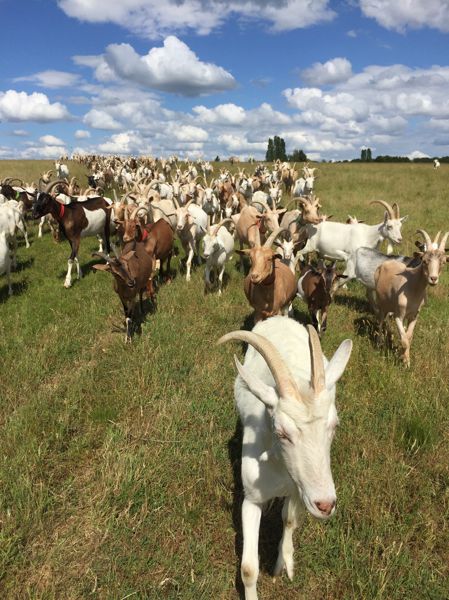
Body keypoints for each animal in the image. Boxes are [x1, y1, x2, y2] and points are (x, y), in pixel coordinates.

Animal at [219, 316, 352, 596]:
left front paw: (283, 564)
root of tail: (279, 317)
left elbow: (289, 520)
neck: (279, 468)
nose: (325, 505)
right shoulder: (252, 496)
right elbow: (248, 568)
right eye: (282, 432)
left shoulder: (299, 489)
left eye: (334, 425)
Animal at [372, 230, 446, 368]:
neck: (413, 286)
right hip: (381, 302)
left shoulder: (414, 315)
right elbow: (404, 340)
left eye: (443, 262)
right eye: (424, 261)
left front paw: (405, 358)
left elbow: (409, 337)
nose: (433, 279)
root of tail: (385, 263)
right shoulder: (399, 315)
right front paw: (405, 363)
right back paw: (379, 342)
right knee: (380, 320)